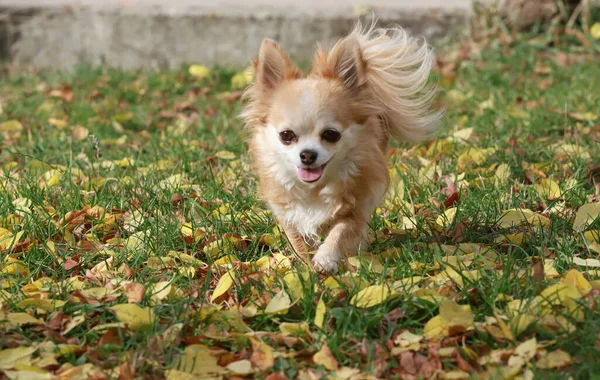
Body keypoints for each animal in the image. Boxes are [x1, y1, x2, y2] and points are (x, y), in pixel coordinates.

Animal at [240, 20, 440, 272]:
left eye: (331, 134)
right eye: (287, 136)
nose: (307, 155)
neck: (314, 189)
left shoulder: (358, 207)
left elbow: (341, 232)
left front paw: (325, 259)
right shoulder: (289, 215)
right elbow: (299, 243)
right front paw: (306, 269)